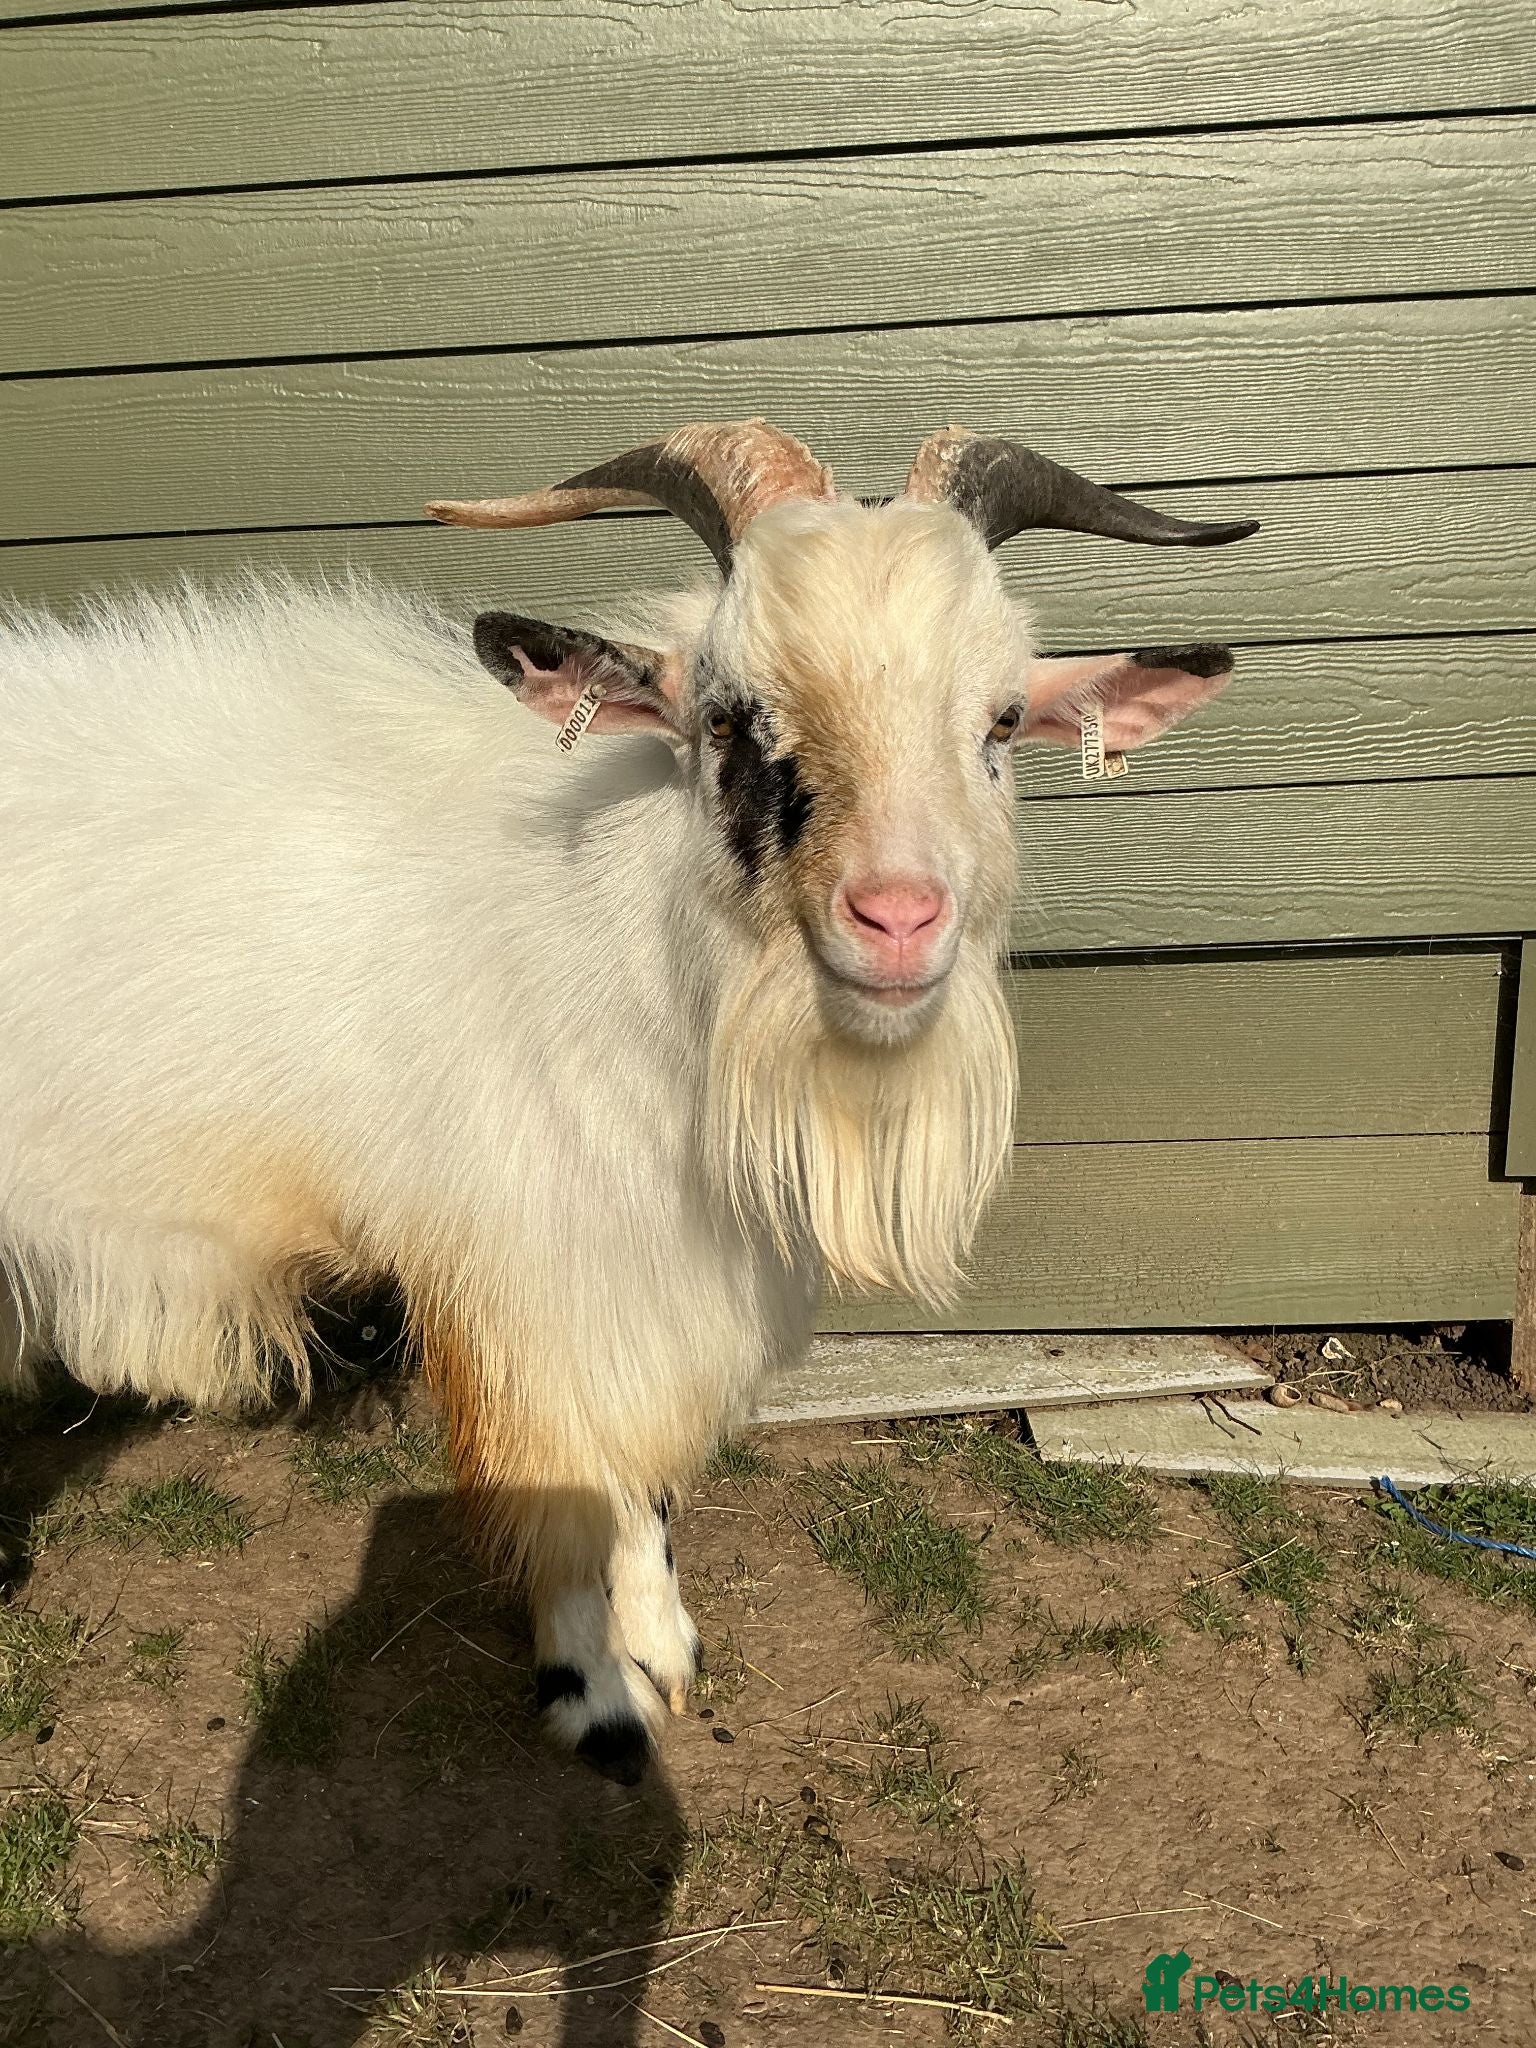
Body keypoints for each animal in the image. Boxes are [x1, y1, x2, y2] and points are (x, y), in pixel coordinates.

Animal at [0, 422, 1255, 1779]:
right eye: (725, 715)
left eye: (1003, 720)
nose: (899, 919)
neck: (616, 929)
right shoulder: (535, 1283)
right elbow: (566, 1490)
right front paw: (599, 1695)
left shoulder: (656, 1273)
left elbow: (644, 1480)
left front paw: (665, 1642)